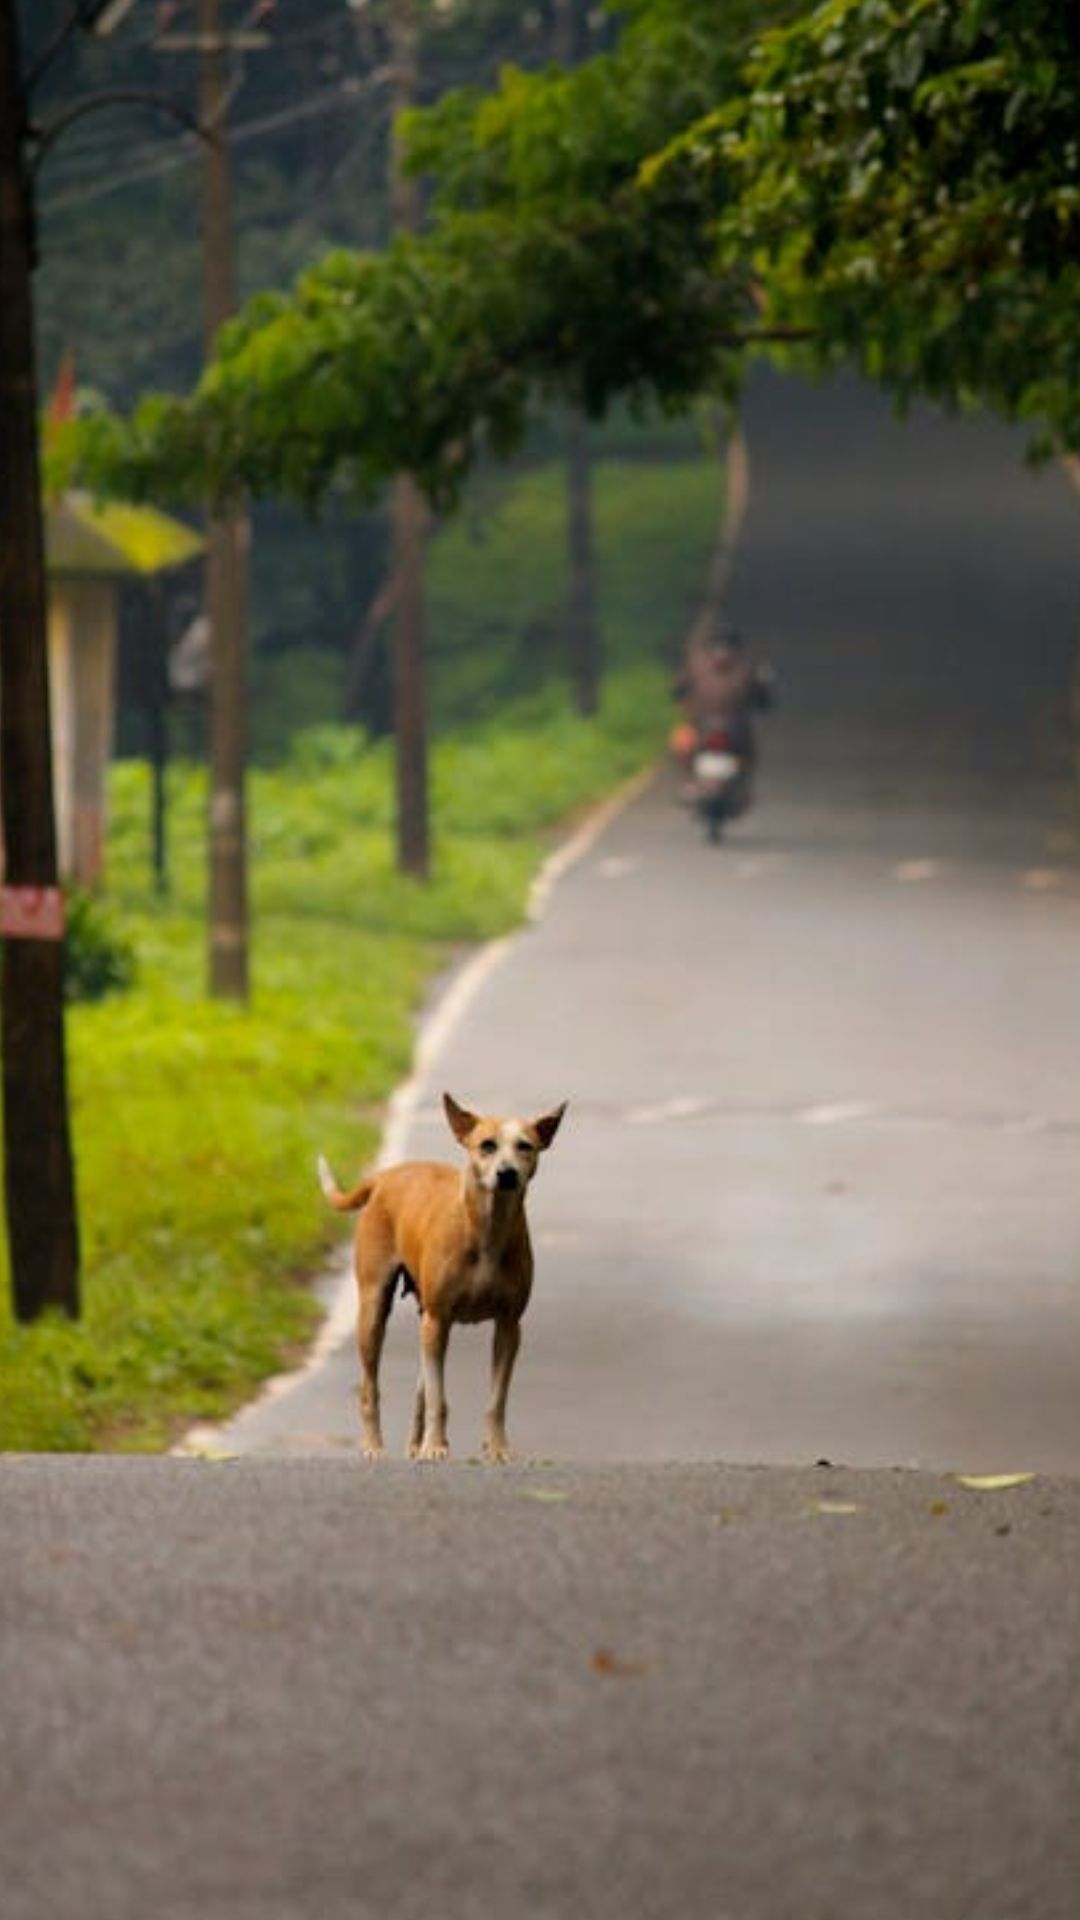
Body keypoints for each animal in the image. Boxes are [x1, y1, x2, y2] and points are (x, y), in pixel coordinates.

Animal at [317, 1098, 564, 1451]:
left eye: (525, 1146)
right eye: (487, 1145)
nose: (507, 1174)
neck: (486, 1229)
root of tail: (384, 1176)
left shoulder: (508, 1326)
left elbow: (496, 1400)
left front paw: (497, 1449)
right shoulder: (438, 1320)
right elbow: (438, 1398)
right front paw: (435, 1447)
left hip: (425, 1319)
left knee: (420, 1389)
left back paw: (414, 1446)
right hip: (375, 1310)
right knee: (370, 1387)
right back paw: (375, 1446)